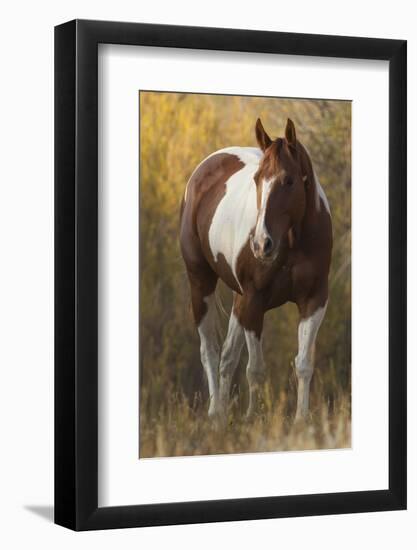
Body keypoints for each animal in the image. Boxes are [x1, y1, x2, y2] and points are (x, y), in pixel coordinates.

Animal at [179, 119, 332, 422]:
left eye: (289, 180)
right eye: (257, 179)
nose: (262, 244)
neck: (294, 241)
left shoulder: (314, 301)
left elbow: (303, 363)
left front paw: (301, 420)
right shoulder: (254, 300)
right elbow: (255, 368)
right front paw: (253, 419)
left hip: (239, 300)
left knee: (227, 356)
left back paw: (222, 416)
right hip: (201, 284)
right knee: (210, 351)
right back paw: (215, 413)